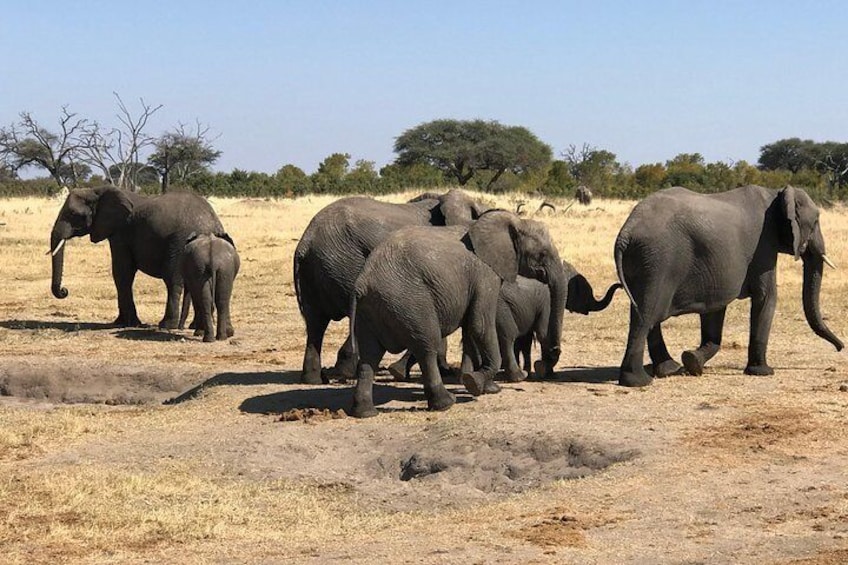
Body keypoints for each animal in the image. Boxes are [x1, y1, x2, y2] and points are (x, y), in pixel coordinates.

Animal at [49, 185, 225, 326]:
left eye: (73, 214)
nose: (64, 291)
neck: (97, 190)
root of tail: (212, 224)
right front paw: (122, 322)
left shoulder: (120, 232)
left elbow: (122, 271)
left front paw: (127, 323)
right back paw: (195, 326)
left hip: (179, 241)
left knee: (172, 279)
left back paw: (167, 325)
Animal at [348, 209, 568, 416]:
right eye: (541, 254)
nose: (551, 352)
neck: (511, 221)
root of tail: (362, 285)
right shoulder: (485, 274)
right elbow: (480, 325)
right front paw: (474, 382)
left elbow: (470, 330)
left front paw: (485, 387)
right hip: (409, 302)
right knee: (427, 347)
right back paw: (446, 403)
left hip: (371, 311)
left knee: (369, 355)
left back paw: (365, 413)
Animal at [612, 185, 844, 388]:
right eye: (815, 222)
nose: (841, 348)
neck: (776, 194)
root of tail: (626, 233)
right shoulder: (764, 245)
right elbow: (766, 297)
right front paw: (763, 372)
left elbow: (714, 310)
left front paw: (692, 361)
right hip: (658, 261)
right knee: (646, 317)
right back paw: (639, 382)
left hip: (645, 263)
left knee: (646, 315)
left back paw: (669, 369)